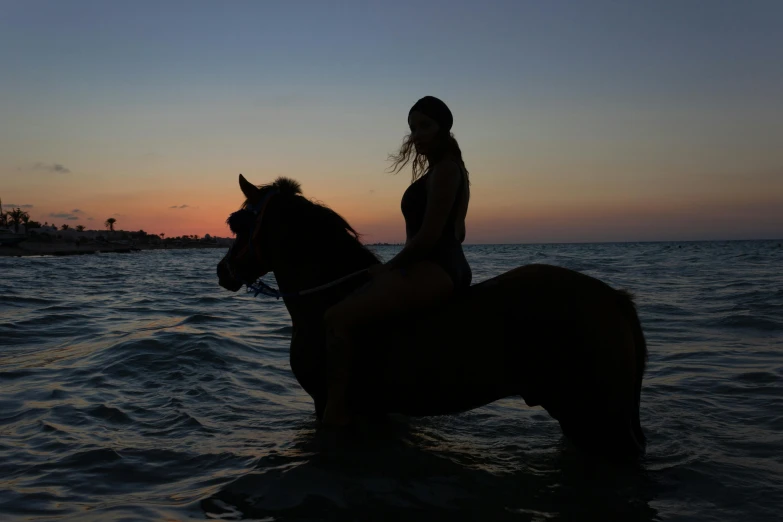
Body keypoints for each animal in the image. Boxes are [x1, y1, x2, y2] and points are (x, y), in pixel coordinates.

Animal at [216, 173, 648, 458]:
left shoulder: (330, 404)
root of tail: (615, 299)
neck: (328, 293)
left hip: (598, 419)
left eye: (237, 224)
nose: (223, 272)